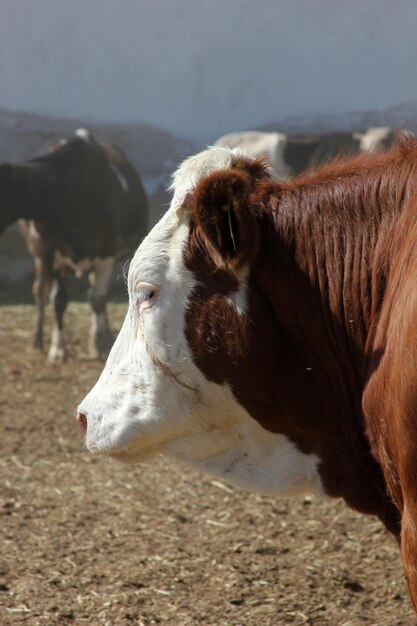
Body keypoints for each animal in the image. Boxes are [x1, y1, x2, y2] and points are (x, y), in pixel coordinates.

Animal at [0, 128, 148, 360]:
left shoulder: (106, 251)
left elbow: (97, 298)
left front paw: (97, 344)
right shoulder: (51, 251)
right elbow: (58, 300)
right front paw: (58, 349)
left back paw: (106, 333)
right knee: (40, 290)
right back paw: (37, 339)